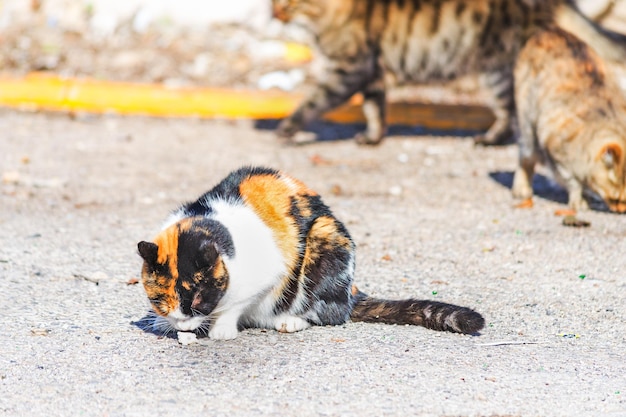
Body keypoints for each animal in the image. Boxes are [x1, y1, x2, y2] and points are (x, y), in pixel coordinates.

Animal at [136, 166, 482, 338]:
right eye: (159, 300)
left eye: (198, 298)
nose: (182, 324)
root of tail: (351, 292)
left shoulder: (267, 272)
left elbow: (235, 305)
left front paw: (221, 329)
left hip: (325, 237)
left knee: (329, 314)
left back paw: (291, 321)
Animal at [272, 0, 624, 145]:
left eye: (288, 4)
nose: (273, 13)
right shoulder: (372, 73)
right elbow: (375, 109)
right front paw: (373, 138)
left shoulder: (351, 68)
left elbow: (314, 100)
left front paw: (287, 127)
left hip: (496, 69)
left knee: (510, 112)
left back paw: (490, 140)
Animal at [512, 27, 624, 213]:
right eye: (615, 199)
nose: (621, 210)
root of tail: (551, 31)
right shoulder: (555, 150)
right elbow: (573, 181)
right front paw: (580, 199)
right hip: (528, 126)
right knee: (525, 156)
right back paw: (521, 189)